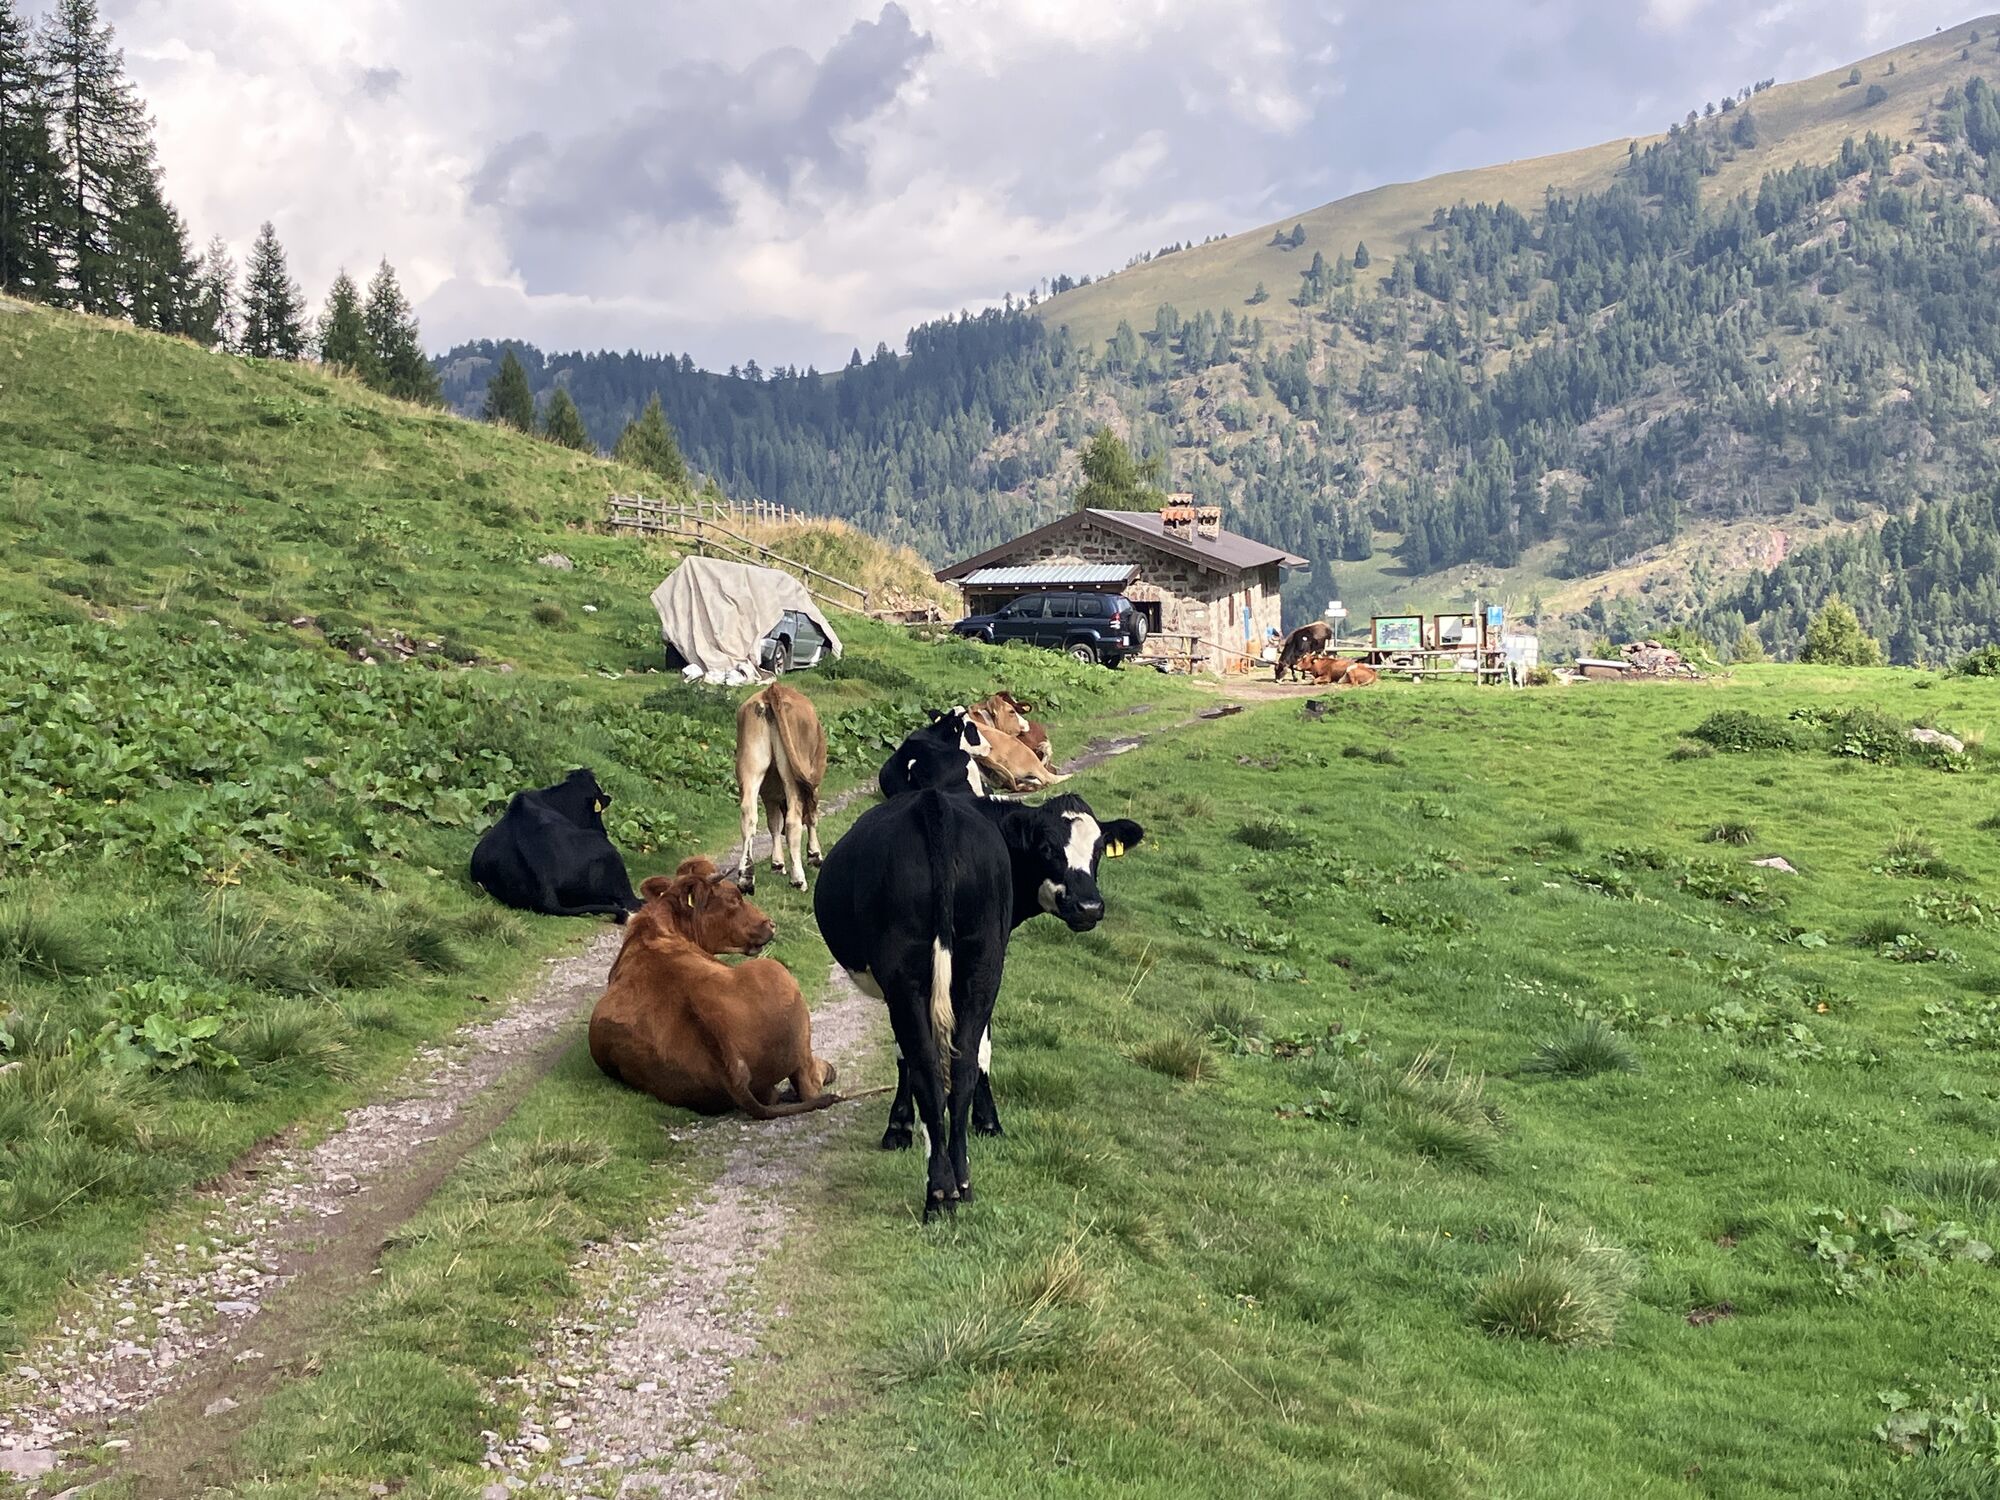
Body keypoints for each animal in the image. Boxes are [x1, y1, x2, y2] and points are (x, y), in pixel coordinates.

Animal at [734, 682, 826, 893]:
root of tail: (773, 689)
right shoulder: (813, 781)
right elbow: (812, 817)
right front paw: (815, 855)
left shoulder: (769, 794)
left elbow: (773, 824)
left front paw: (777, 863)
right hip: (794, 774)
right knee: (793, 819)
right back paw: (798, 879)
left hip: (750, 764)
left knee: (748, 815)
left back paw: (746, 878)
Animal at [814, 789, 1144, 1219]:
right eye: (1047, 846)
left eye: (1100, 848)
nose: (1088, 907)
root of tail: (935, 805)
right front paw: (986, 1123)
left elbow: (909, 1056)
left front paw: (901, 1127)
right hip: (982, 964)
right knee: (963, 1063)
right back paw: (961, 1184)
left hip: (912, 978)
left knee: (930, 1069)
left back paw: (941, 1192)